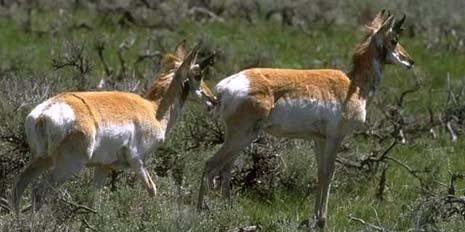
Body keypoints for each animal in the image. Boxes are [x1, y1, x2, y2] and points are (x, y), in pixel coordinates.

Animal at [12, 41, 216, 214]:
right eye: (198, 75)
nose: (213, 100)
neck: (153, 109)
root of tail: (43, 114)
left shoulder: (103, 167)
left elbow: (95, 199)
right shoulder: (137, 161)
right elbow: (152, 189)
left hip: (42, 159)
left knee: (19, 187)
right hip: (68, 165)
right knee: (39, 191)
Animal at [196, 10, 414, 227]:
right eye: (394, 39)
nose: (410, 61)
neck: (354, 85)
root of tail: (224, 87)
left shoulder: (319, 140)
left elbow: (320, 173)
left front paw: (315, 217)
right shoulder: (335, 139)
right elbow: (329, 173)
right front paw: (322, 220)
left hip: (238, 138)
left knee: (225, 169)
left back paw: (227, 209)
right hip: (242, 137)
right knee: (211, 165)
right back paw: (203, 213)